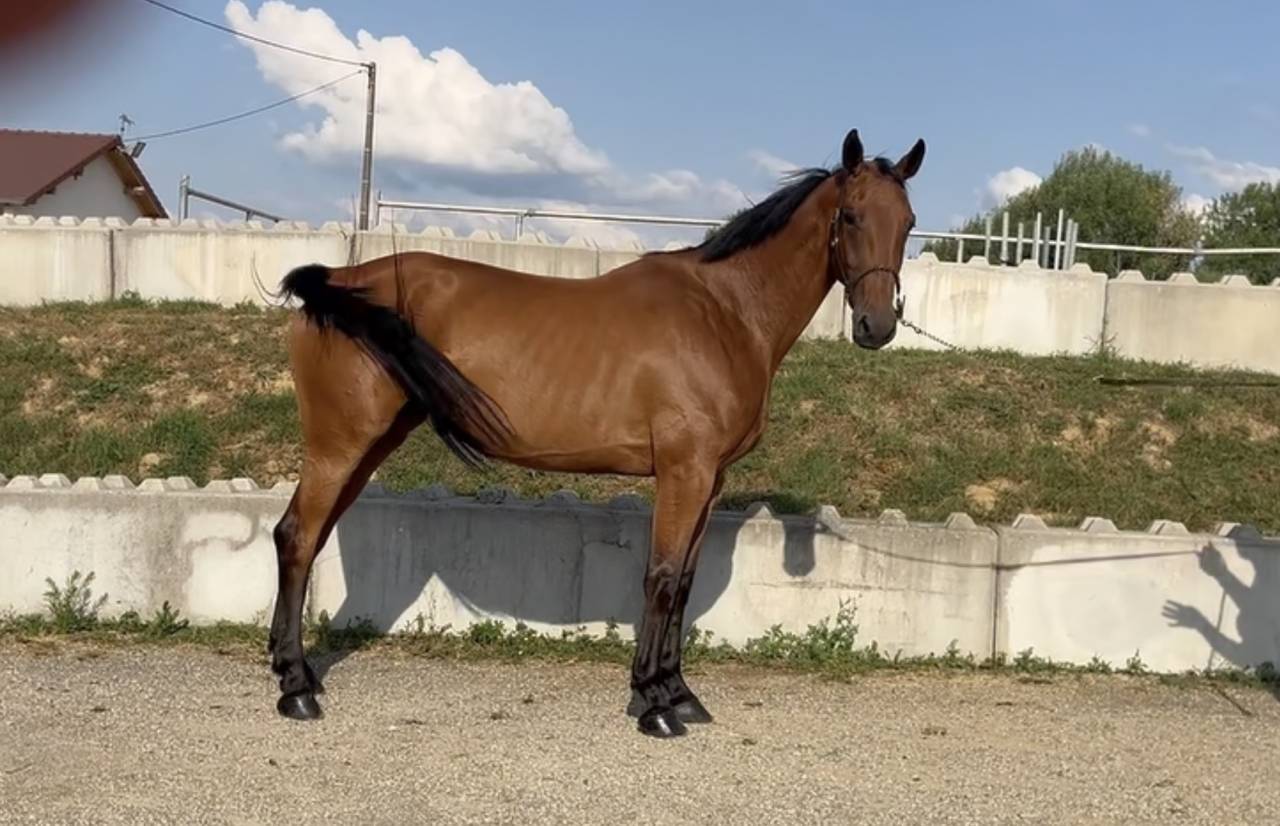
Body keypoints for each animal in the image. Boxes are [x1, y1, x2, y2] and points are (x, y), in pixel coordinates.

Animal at [269, 127, 925, 738]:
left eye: (909, 222)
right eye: (850, 215)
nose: (876, 326)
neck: (725, 311)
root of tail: (336, 280)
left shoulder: (710, 480)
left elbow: (684, 581)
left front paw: (678, 692)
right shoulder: (684, 472)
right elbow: (661, 579)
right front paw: (655, 704)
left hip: (368, 446)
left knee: (308, 537)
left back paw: (293, 671)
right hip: (339, 446)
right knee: (296, 538)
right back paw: (296, 689)